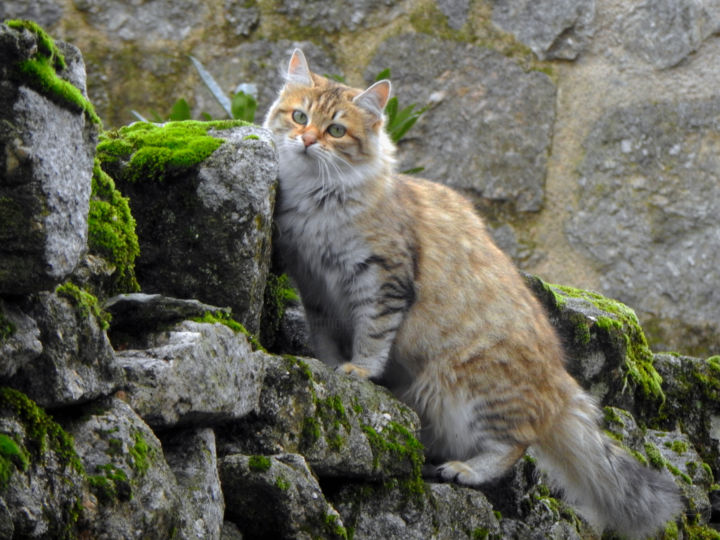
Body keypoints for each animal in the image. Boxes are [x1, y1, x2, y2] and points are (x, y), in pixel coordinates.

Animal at [262, 48, 684, 536]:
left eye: (335, 130)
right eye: (299, 116)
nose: (307, 140)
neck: (317, 202)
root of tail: (560, 386)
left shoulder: (381, 278)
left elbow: (372, 334)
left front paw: (359, 370)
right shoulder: (315, 286)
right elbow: (327, 340)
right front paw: (331, 366)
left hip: (469, 389)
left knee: (516, 446)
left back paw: (465, 470)